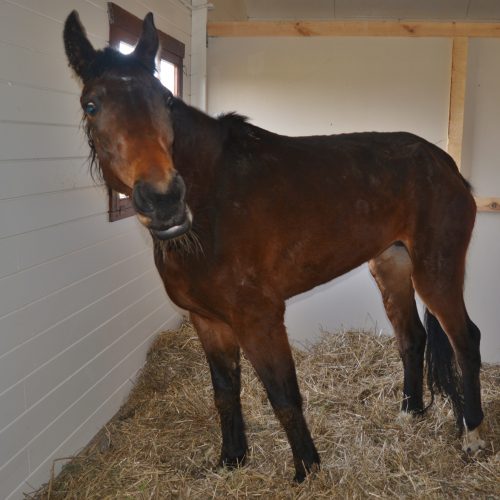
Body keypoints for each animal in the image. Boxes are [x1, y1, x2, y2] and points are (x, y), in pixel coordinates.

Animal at [61, 10, 484, 480]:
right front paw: (231, 459)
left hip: (435, 272)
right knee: (411, 337)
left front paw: (308, 470)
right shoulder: (207, 321)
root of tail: (446, 164)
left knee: (466, 341)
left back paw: (473, 437)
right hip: (390, 265)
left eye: (166, 100)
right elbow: (225, 392)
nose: (164, 199)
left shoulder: (259, 318)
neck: (212, 201)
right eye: (91, 105)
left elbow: (282, 394)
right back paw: (409, 413)